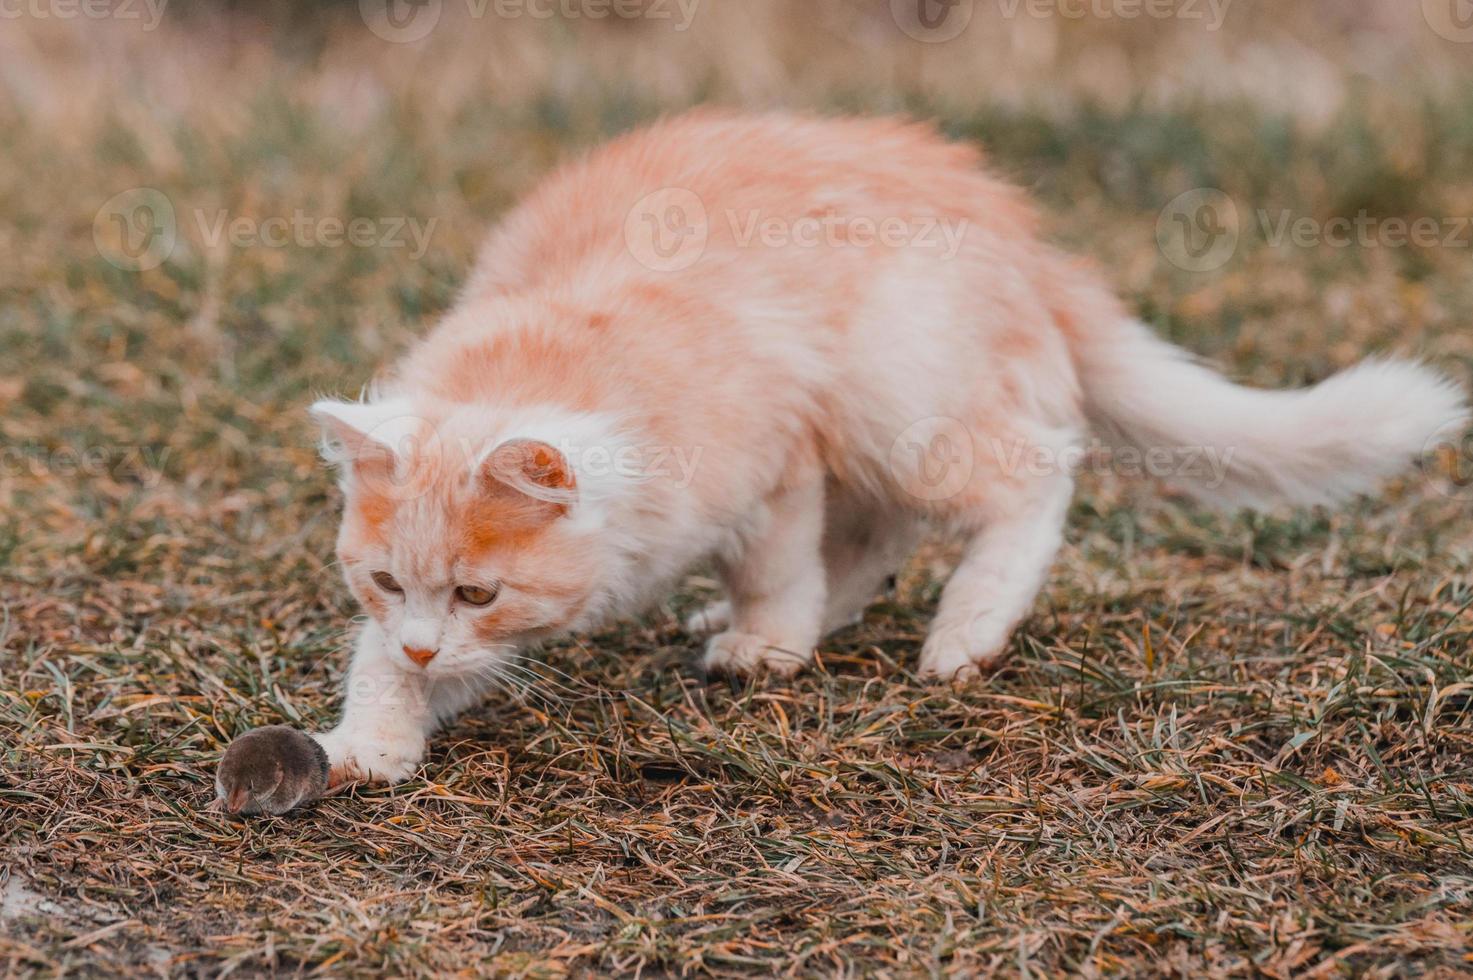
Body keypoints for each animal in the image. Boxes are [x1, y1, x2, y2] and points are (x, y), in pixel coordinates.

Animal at [215, 109, 1461, 795]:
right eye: (387, 580)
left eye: (477, 587)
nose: (432, 642)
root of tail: (1017, 226)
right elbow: (376, 664)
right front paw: (369, 739)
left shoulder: (772, 459)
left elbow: (778, 564)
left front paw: (772, 643)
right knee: (887, 530)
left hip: (891, 398)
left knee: (1033, 472)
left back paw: (959, 632)